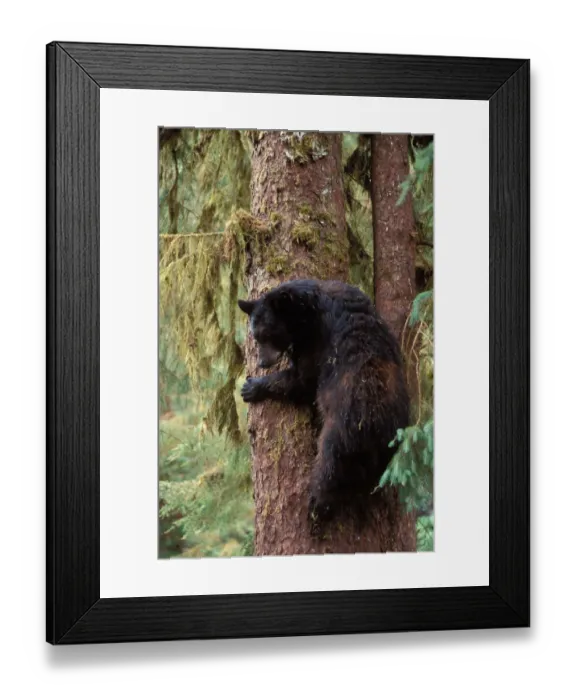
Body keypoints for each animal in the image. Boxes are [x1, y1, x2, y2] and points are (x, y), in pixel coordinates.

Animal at [238, 279, 411, 528]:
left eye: (267, 334)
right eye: (255, 335)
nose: (261, 363)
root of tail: (377, 423)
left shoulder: (316, 338)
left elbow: (304, 379)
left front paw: (252, 387)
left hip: (341, 431)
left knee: (330, 466)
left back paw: (317, 509)